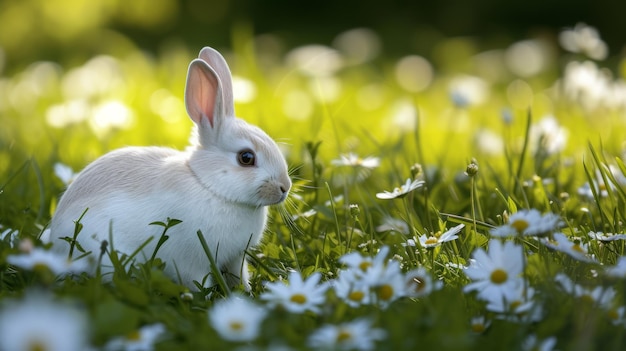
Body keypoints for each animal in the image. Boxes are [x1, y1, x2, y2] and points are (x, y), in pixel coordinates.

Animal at [46, 46, 290, 288]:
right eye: (246, 157)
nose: (284, 187)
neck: (208, 186)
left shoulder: (235, 258)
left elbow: (239, 277)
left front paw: (244, 292)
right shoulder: (191, 264)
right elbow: (198, 281)